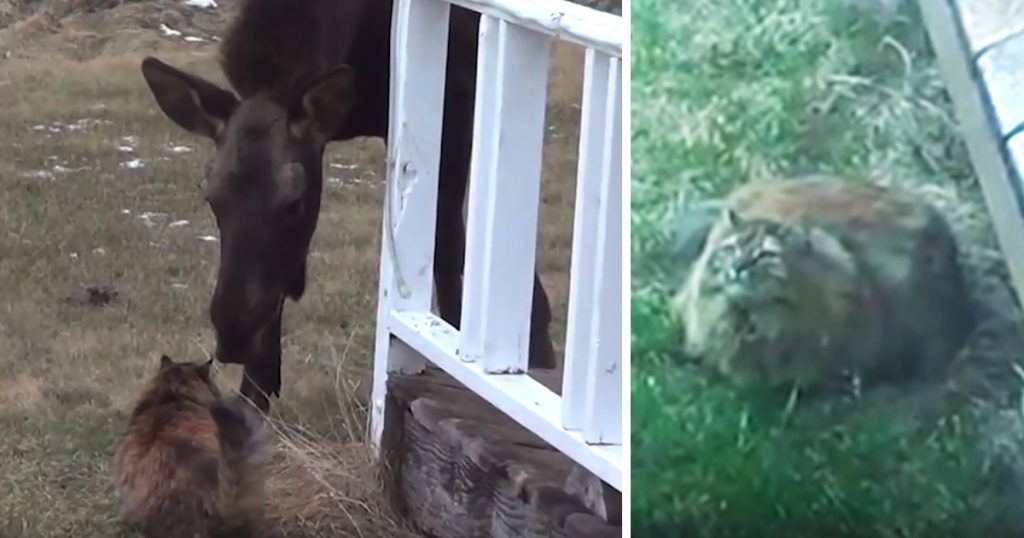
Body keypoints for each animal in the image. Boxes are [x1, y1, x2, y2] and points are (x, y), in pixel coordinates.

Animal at [139, 0, 557, 411]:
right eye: (211, 197)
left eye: (294, 202)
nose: (233, 331)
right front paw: (256, 391)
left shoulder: (455, 97)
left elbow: (449, 248)